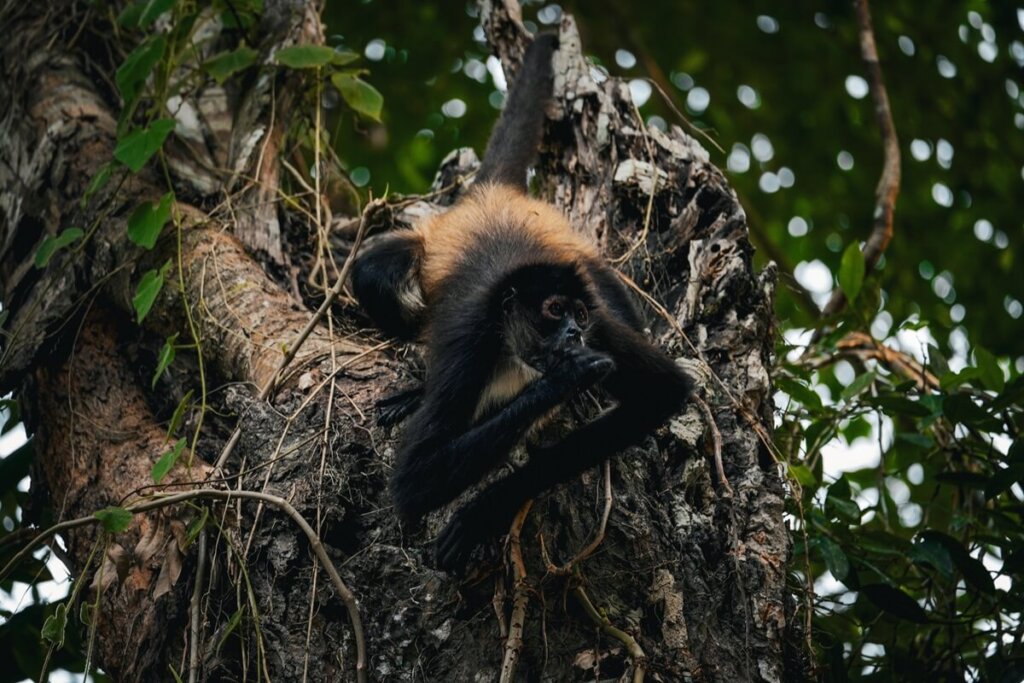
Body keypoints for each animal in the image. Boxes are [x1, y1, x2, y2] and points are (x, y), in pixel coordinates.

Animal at [348, 34, 692, 573]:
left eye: (578, 316)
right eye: (553, 311)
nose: (573, 334)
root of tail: (491, 197)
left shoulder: (601, 326)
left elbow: (665, 393)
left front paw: (487, 509)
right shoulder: (471, 342)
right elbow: (411, 484)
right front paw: (566, 378)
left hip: (579, 258)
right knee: (371, 272)